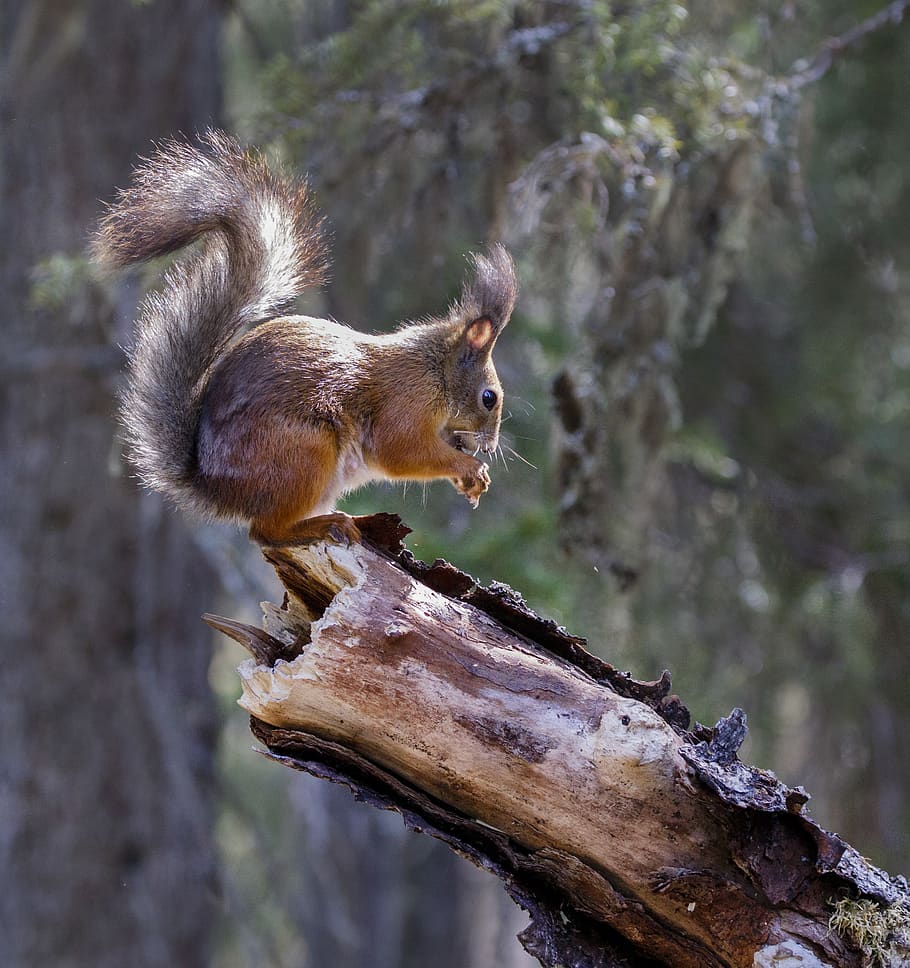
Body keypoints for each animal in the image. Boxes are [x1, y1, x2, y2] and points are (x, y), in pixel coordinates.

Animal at [93, 130, 518, 544]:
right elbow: (400, 450)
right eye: (489, 397)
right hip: (304, 452)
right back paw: (325, 524)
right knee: (265, 532)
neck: (435, 369)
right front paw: (470, 467)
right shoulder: (405, 402)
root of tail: (215, 486)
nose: (491, 445)